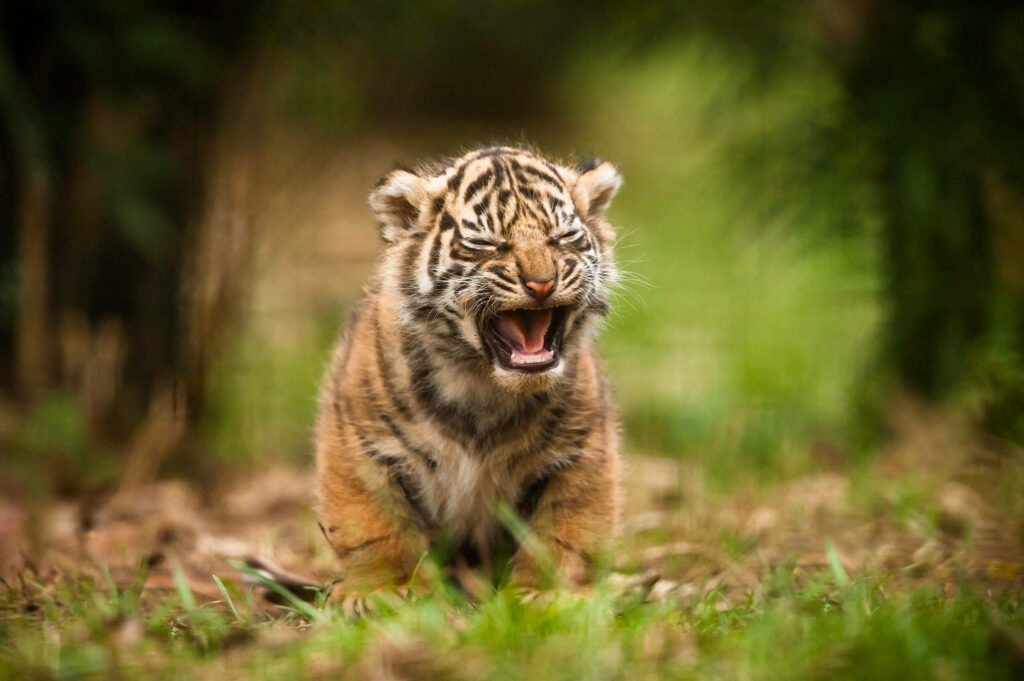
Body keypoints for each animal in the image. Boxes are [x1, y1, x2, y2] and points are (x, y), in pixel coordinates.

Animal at [314, 146, 623, 602]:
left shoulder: (582, 449)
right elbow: (374, 525)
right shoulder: (360, 442)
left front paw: (546, 594)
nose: (542, 284)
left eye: (562, 237)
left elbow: (565, 530)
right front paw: (386, 590)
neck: (482, 383)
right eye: (488, 244)